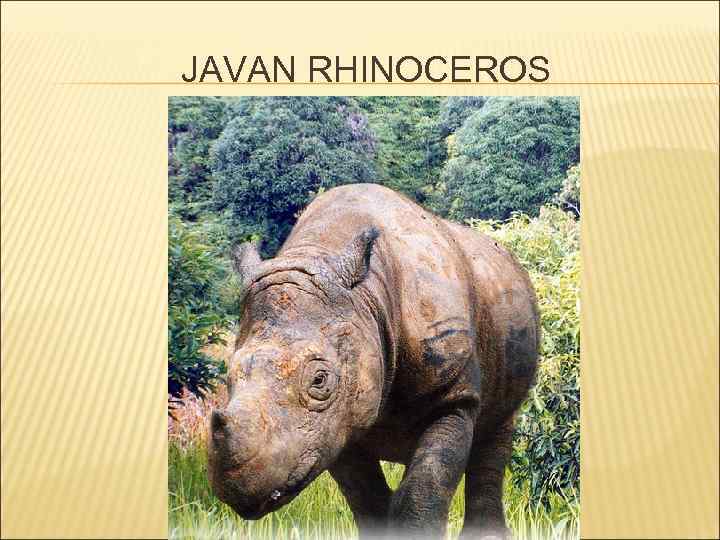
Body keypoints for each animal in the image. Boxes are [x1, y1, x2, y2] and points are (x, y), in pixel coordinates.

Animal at [208, 184, 539, 539]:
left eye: (320, 380)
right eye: (229, 377)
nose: (240, 493)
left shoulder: (453, 396)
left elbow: (426, 486)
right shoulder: (336, 426)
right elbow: (367, 500)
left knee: (496, 430)